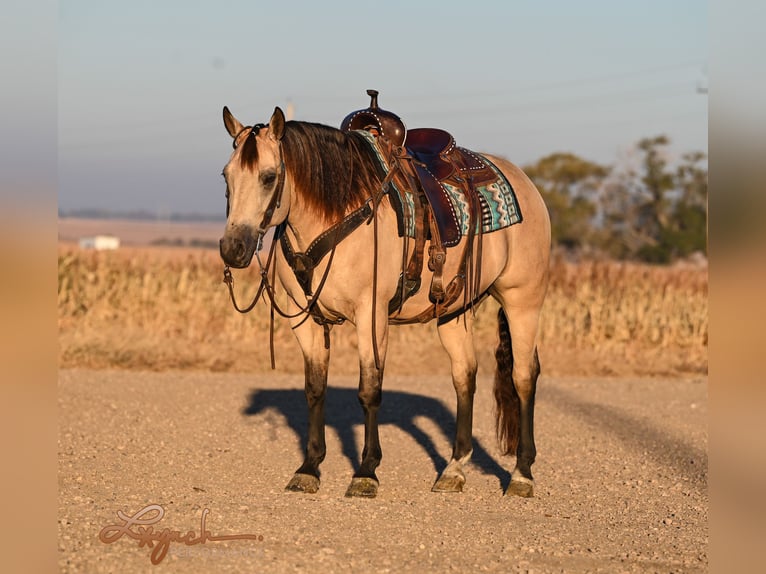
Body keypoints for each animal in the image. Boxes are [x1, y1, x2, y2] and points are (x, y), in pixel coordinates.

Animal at [219, 91, 548, 500]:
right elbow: (315, 389)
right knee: (465, 376)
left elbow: (369, 390)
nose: (233, 248)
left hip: (523, 302)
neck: (337, 212)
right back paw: (453, 469)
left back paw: (521, 474)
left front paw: (365, 472)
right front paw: (309, 468)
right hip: (454, 312)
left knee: (523, 377)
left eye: (268, 177)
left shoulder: (371, 316)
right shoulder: (305, 319)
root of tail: (525, 183)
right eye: (226, 176)